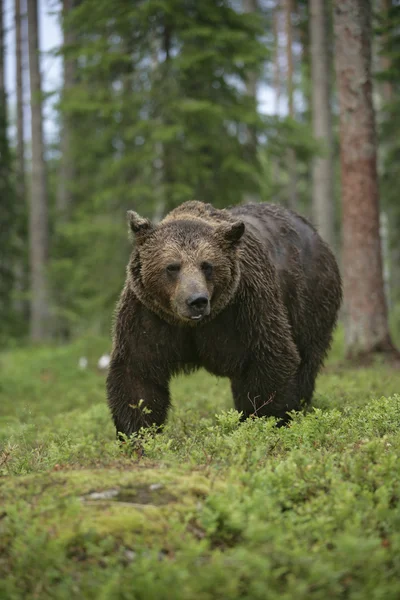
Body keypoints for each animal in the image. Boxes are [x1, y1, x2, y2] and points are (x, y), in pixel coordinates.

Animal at [105, 199, 340, 438]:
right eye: (172, 266)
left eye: (207, 265)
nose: (197, 300)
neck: (193, 324)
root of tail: (315, 233)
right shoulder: (148, 315)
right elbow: (138, 372)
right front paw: (138, 433)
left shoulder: (246, 308)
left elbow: (269, 358)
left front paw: (265, 419)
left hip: (311, 299)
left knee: (307, 359)